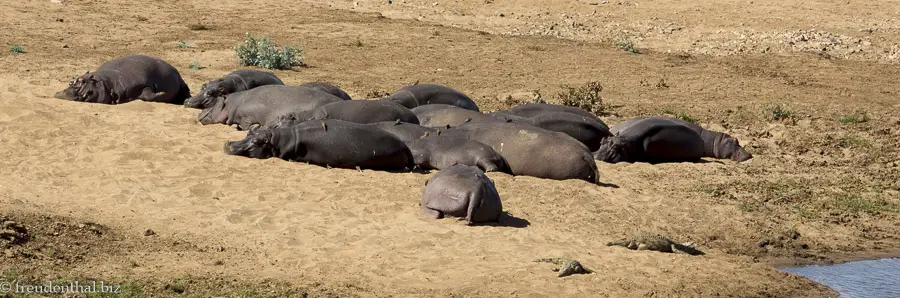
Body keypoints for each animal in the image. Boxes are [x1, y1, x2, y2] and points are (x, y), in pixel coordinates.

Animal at [53, 55, 191, 105]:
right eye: (72, 81)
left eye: (82, 80)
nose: (63, 93)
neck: (106, 82)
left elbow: (148, 94)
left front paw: (161, 92)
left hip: (183, 85)